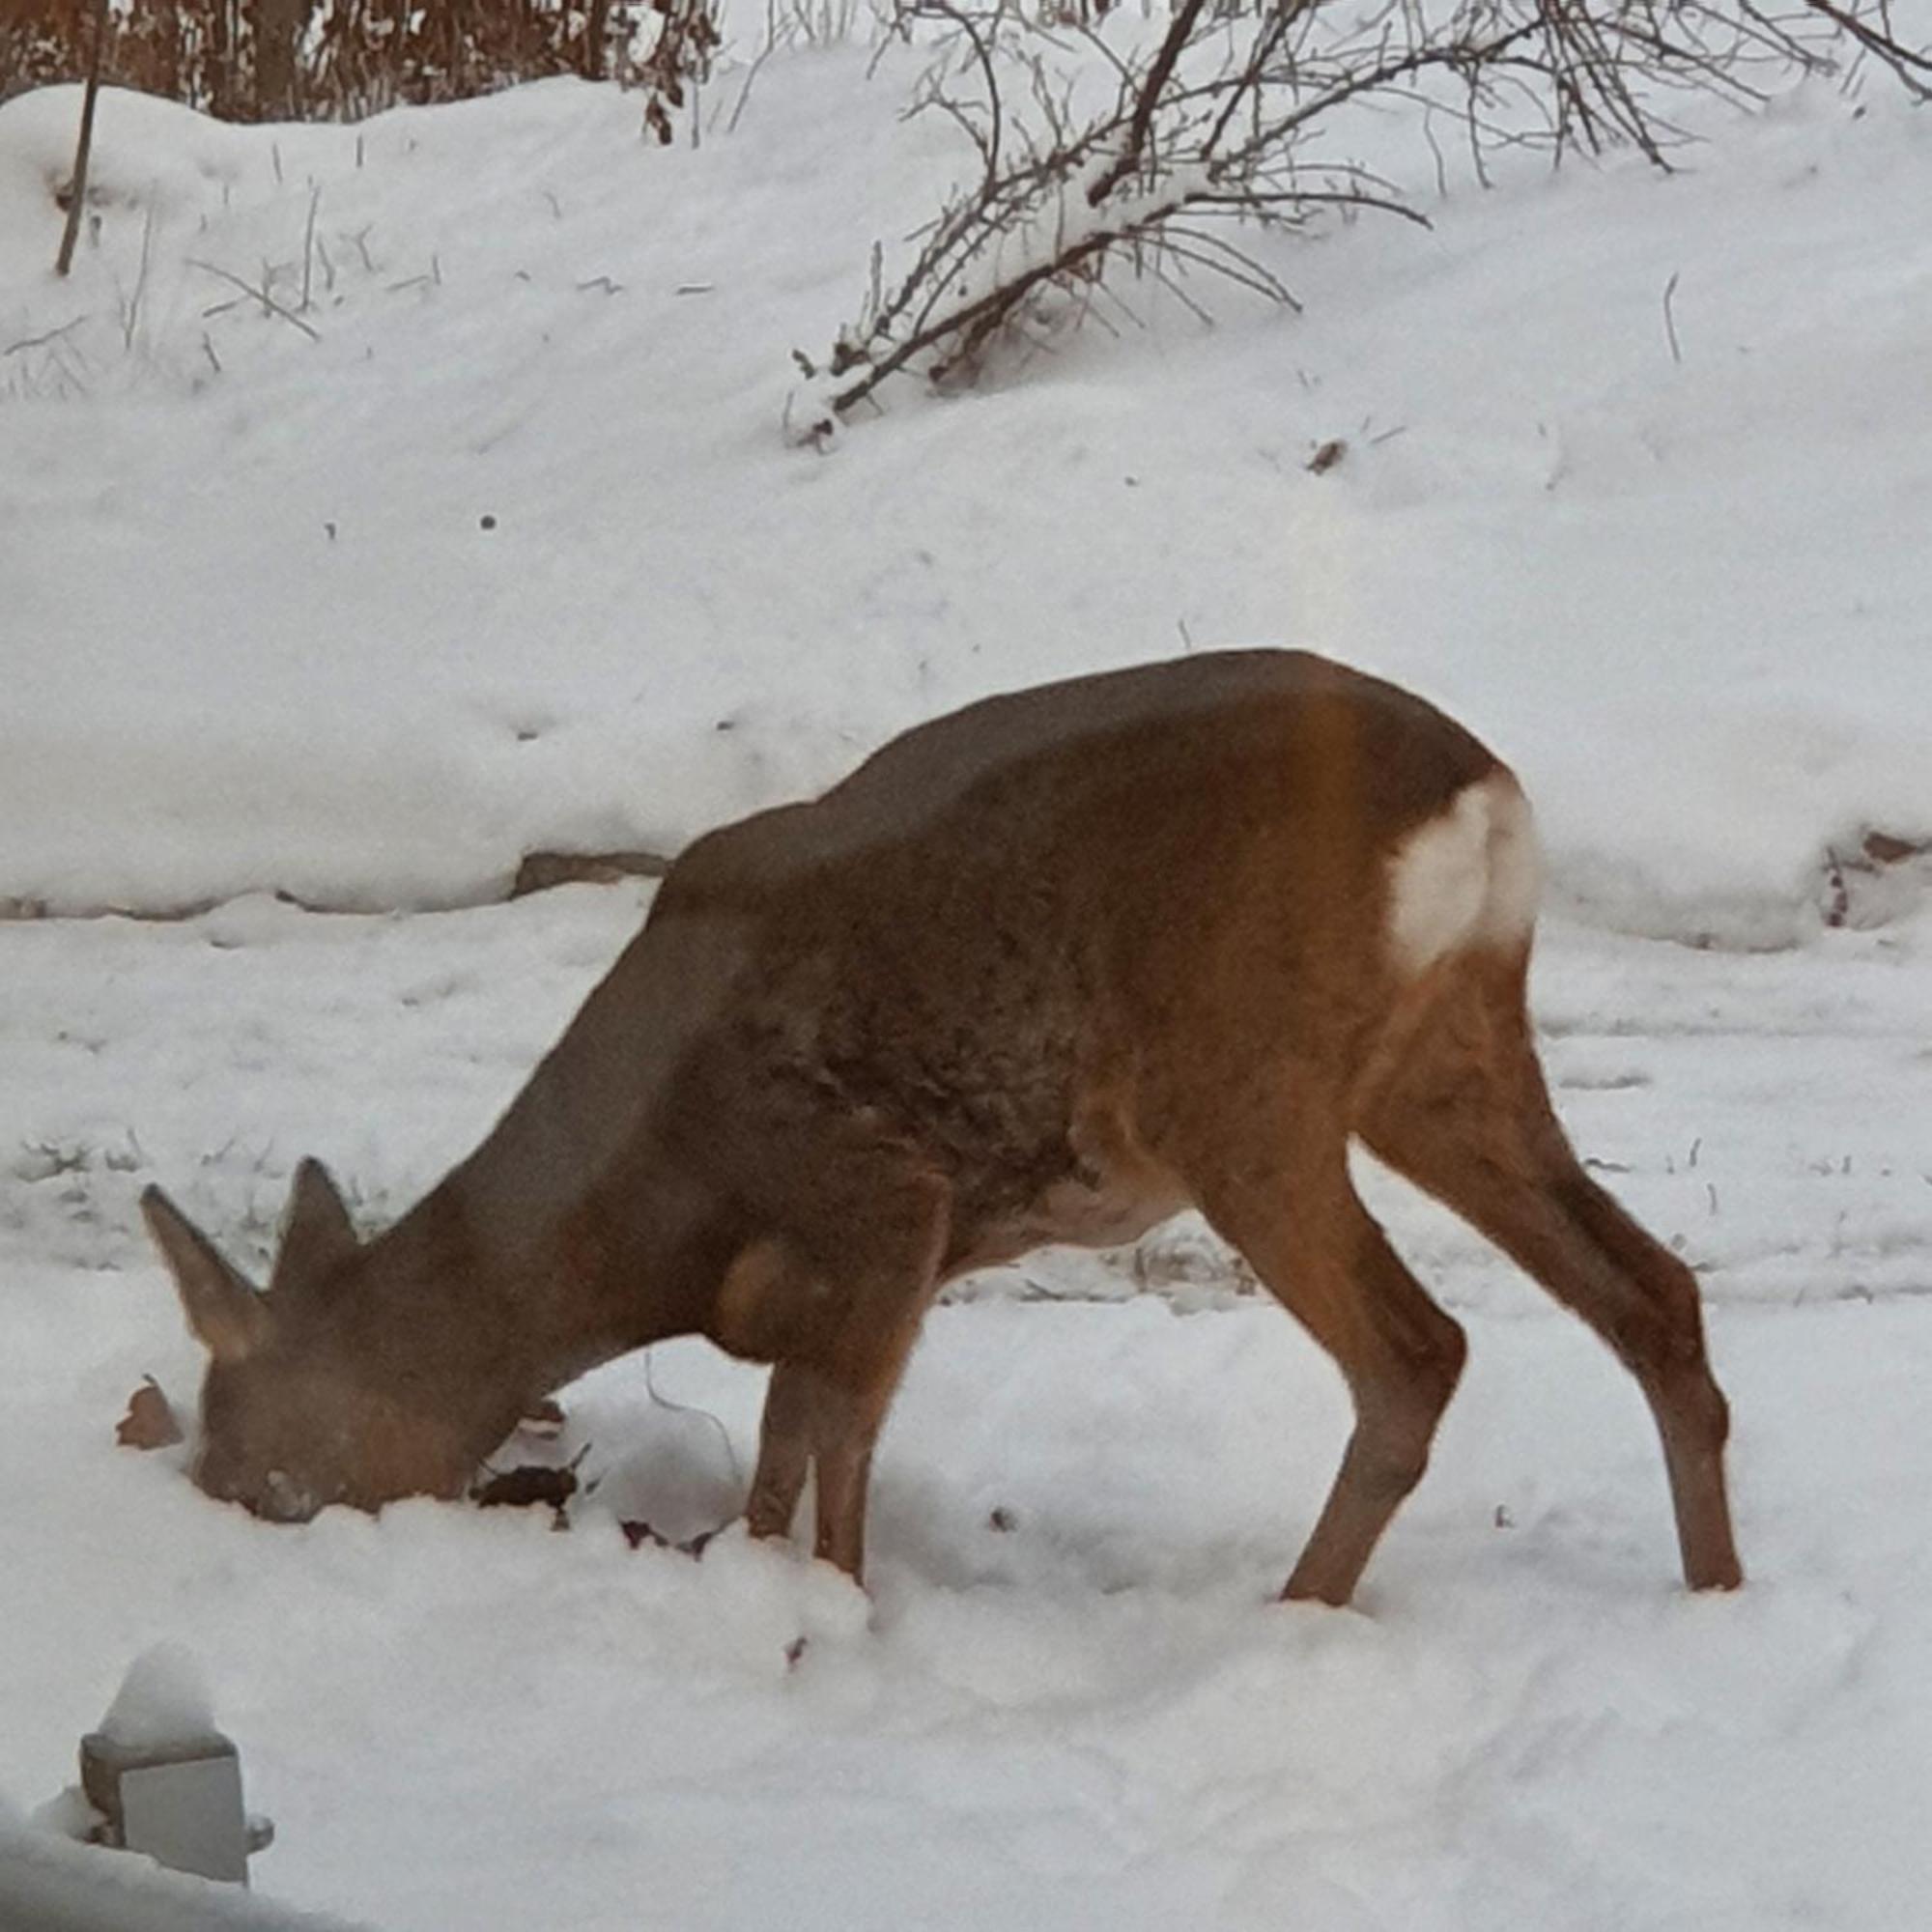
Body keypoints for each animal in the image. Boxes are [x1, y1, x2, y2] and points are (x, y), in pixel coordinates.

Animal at [143, 649, 1747, 1600]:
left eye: (253, 1463)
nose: (214, 1516)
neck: (645, 1223)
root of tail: (1481, 798)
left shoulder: (880, 1194)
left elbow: (836, 1450)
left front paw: (830, 1614)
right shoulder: (844, 1267)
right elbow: (787, 1443)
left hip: (1244, 1084)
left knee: (1419, 1350)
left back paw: (1295, 1612)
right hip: (1445, 1058)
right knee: (1652, 1290)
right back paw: (1714, 1586)